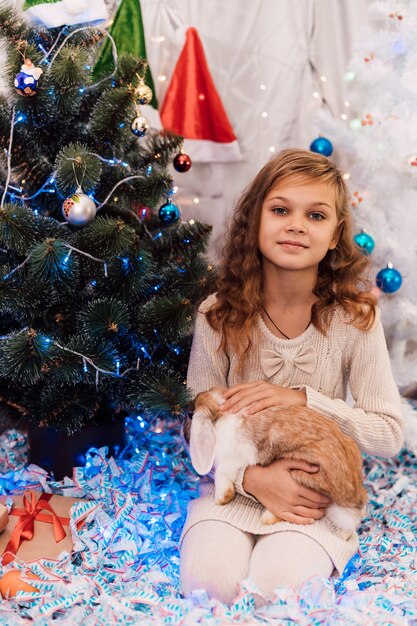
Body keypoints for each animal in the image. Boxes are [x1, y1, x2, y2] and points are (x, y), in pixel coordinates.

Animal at [190, 386, 366, 528]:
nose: (195, 397)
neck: (221, 411)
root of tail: (354, 497)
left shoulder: (240, 454)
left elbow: (223, 471)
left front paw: (222, 498)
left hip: (302, 474)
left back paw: (266, 518)